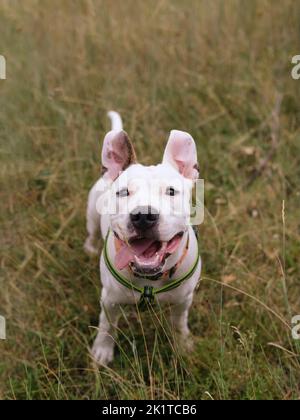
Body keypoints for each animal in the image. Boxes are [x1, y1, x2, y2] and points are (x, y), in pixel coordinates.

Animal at [84, 111, 202, 364]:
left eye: (171, 191)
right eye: (123, 192)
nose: (143, 216)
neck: (150, 278)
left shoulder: (183, 301)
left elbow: (179, 324)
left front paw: (183, 345)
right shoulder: (109, 300)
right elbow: (107, 326)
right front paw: (102, 351)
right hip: (91, 212)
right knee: (91, 232)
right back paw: (89, 247)